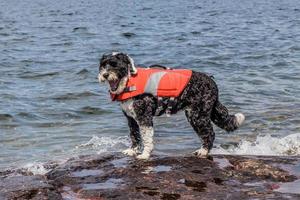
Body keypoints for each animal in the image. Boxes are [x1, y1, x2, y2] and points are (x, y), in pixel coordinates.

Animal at [97, 52, 245, 160]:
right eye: (103, 65)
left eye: (114, 65)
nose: (105, 74)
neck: (129, 82)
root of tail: (212, 82)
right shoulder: (131, 118)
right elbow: (134, 135)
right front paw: (132, 150)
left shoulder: (144, 117)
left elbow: (146, 137)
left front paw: (145, 154)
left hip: (197, 115)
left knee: (210, 133)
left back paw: (203, 151)